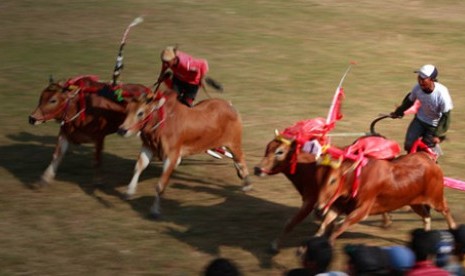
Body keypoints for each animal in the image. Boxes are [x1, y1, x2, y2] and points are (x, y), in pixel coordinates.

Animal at [118, 89, 252, 217]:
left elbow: (160, 185)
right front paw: (129, 192)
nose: (122, 130)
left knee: (241, 159)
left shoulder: (172, 156)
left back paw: (247, 184)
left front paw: (154, 211)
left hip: (234, 143)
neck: (162, 122)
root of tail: (230, 105)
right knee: (237, 161)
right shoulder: (148, 147)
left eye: (140, 113)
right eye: (127, 110)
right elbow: (139, 167)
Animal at [314, 150, 454, 243]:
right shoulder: (338, 206)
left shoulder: (362, 210)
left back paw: (452, 227)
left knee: (445, 209)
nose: (318, 208)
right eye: (318, 179)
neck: (356, 178)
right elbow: (324, 223)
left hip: (435, 199)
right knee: (426, 216)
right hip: (415, 203)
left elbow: (340, 226)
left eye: (333, 180)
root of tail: (429, 158)